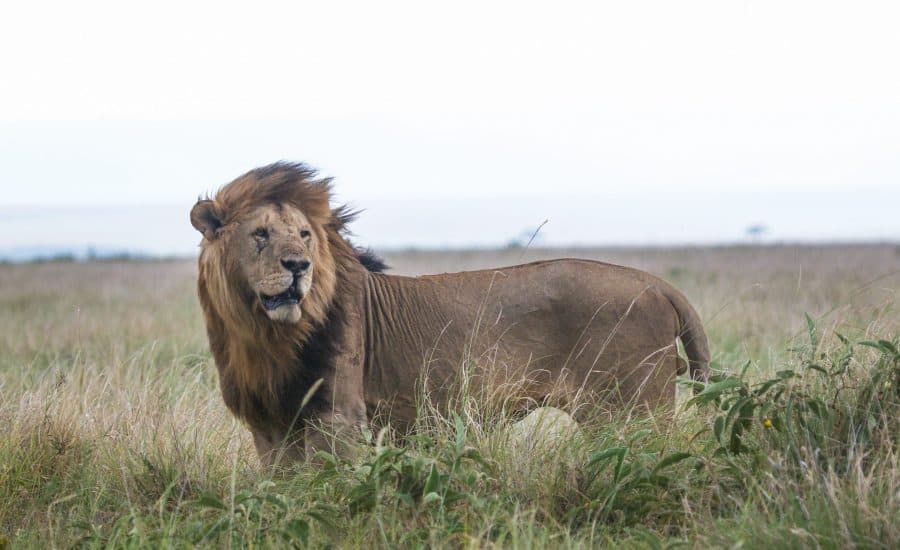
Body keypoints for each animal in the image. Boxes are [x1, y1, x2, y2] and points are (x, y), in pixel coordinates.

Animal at [190, 162, 710, 465]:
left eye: (303, 235)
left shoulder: (338, 418)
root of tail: (659, 285)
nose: (299, 266)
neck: (262, 337)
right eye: (260, 234)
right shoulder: (267, 427)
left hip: (633, 414)